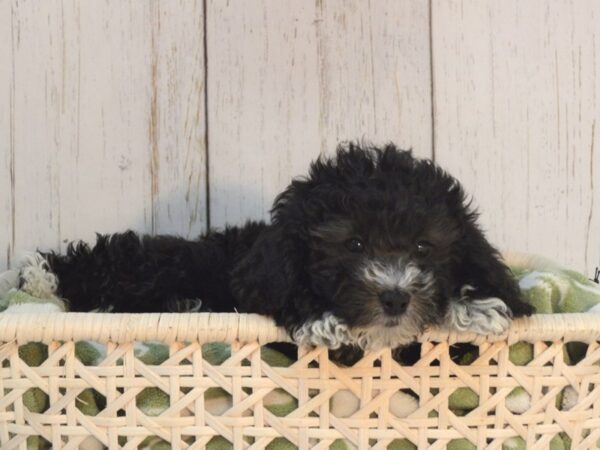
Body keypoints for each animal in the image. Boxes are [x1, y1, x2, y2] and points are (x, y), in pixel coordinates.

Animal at [18, 144, 536, 352]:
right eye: (353, 243)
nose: (394, 298)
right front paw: (320, 319)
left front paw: (477, 306)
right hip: (164, 265)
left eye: (425, 246)